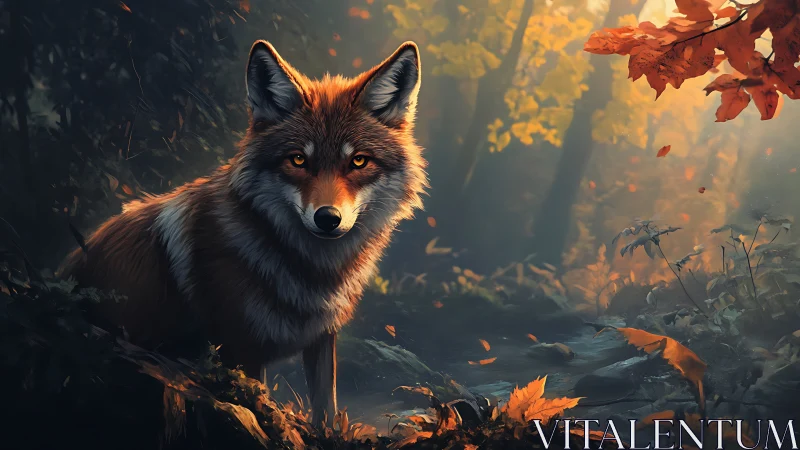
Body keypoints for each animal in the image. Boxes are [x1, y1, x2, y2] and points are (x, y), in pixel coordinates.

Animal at [57, 40, 427, 427]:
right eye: (298, 160)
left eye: (358, 161)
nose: (327, 218)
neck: (309, 269)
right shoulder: (241, 348)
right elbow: (259, 408)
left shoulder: (322, 337)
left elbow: (325, 409)